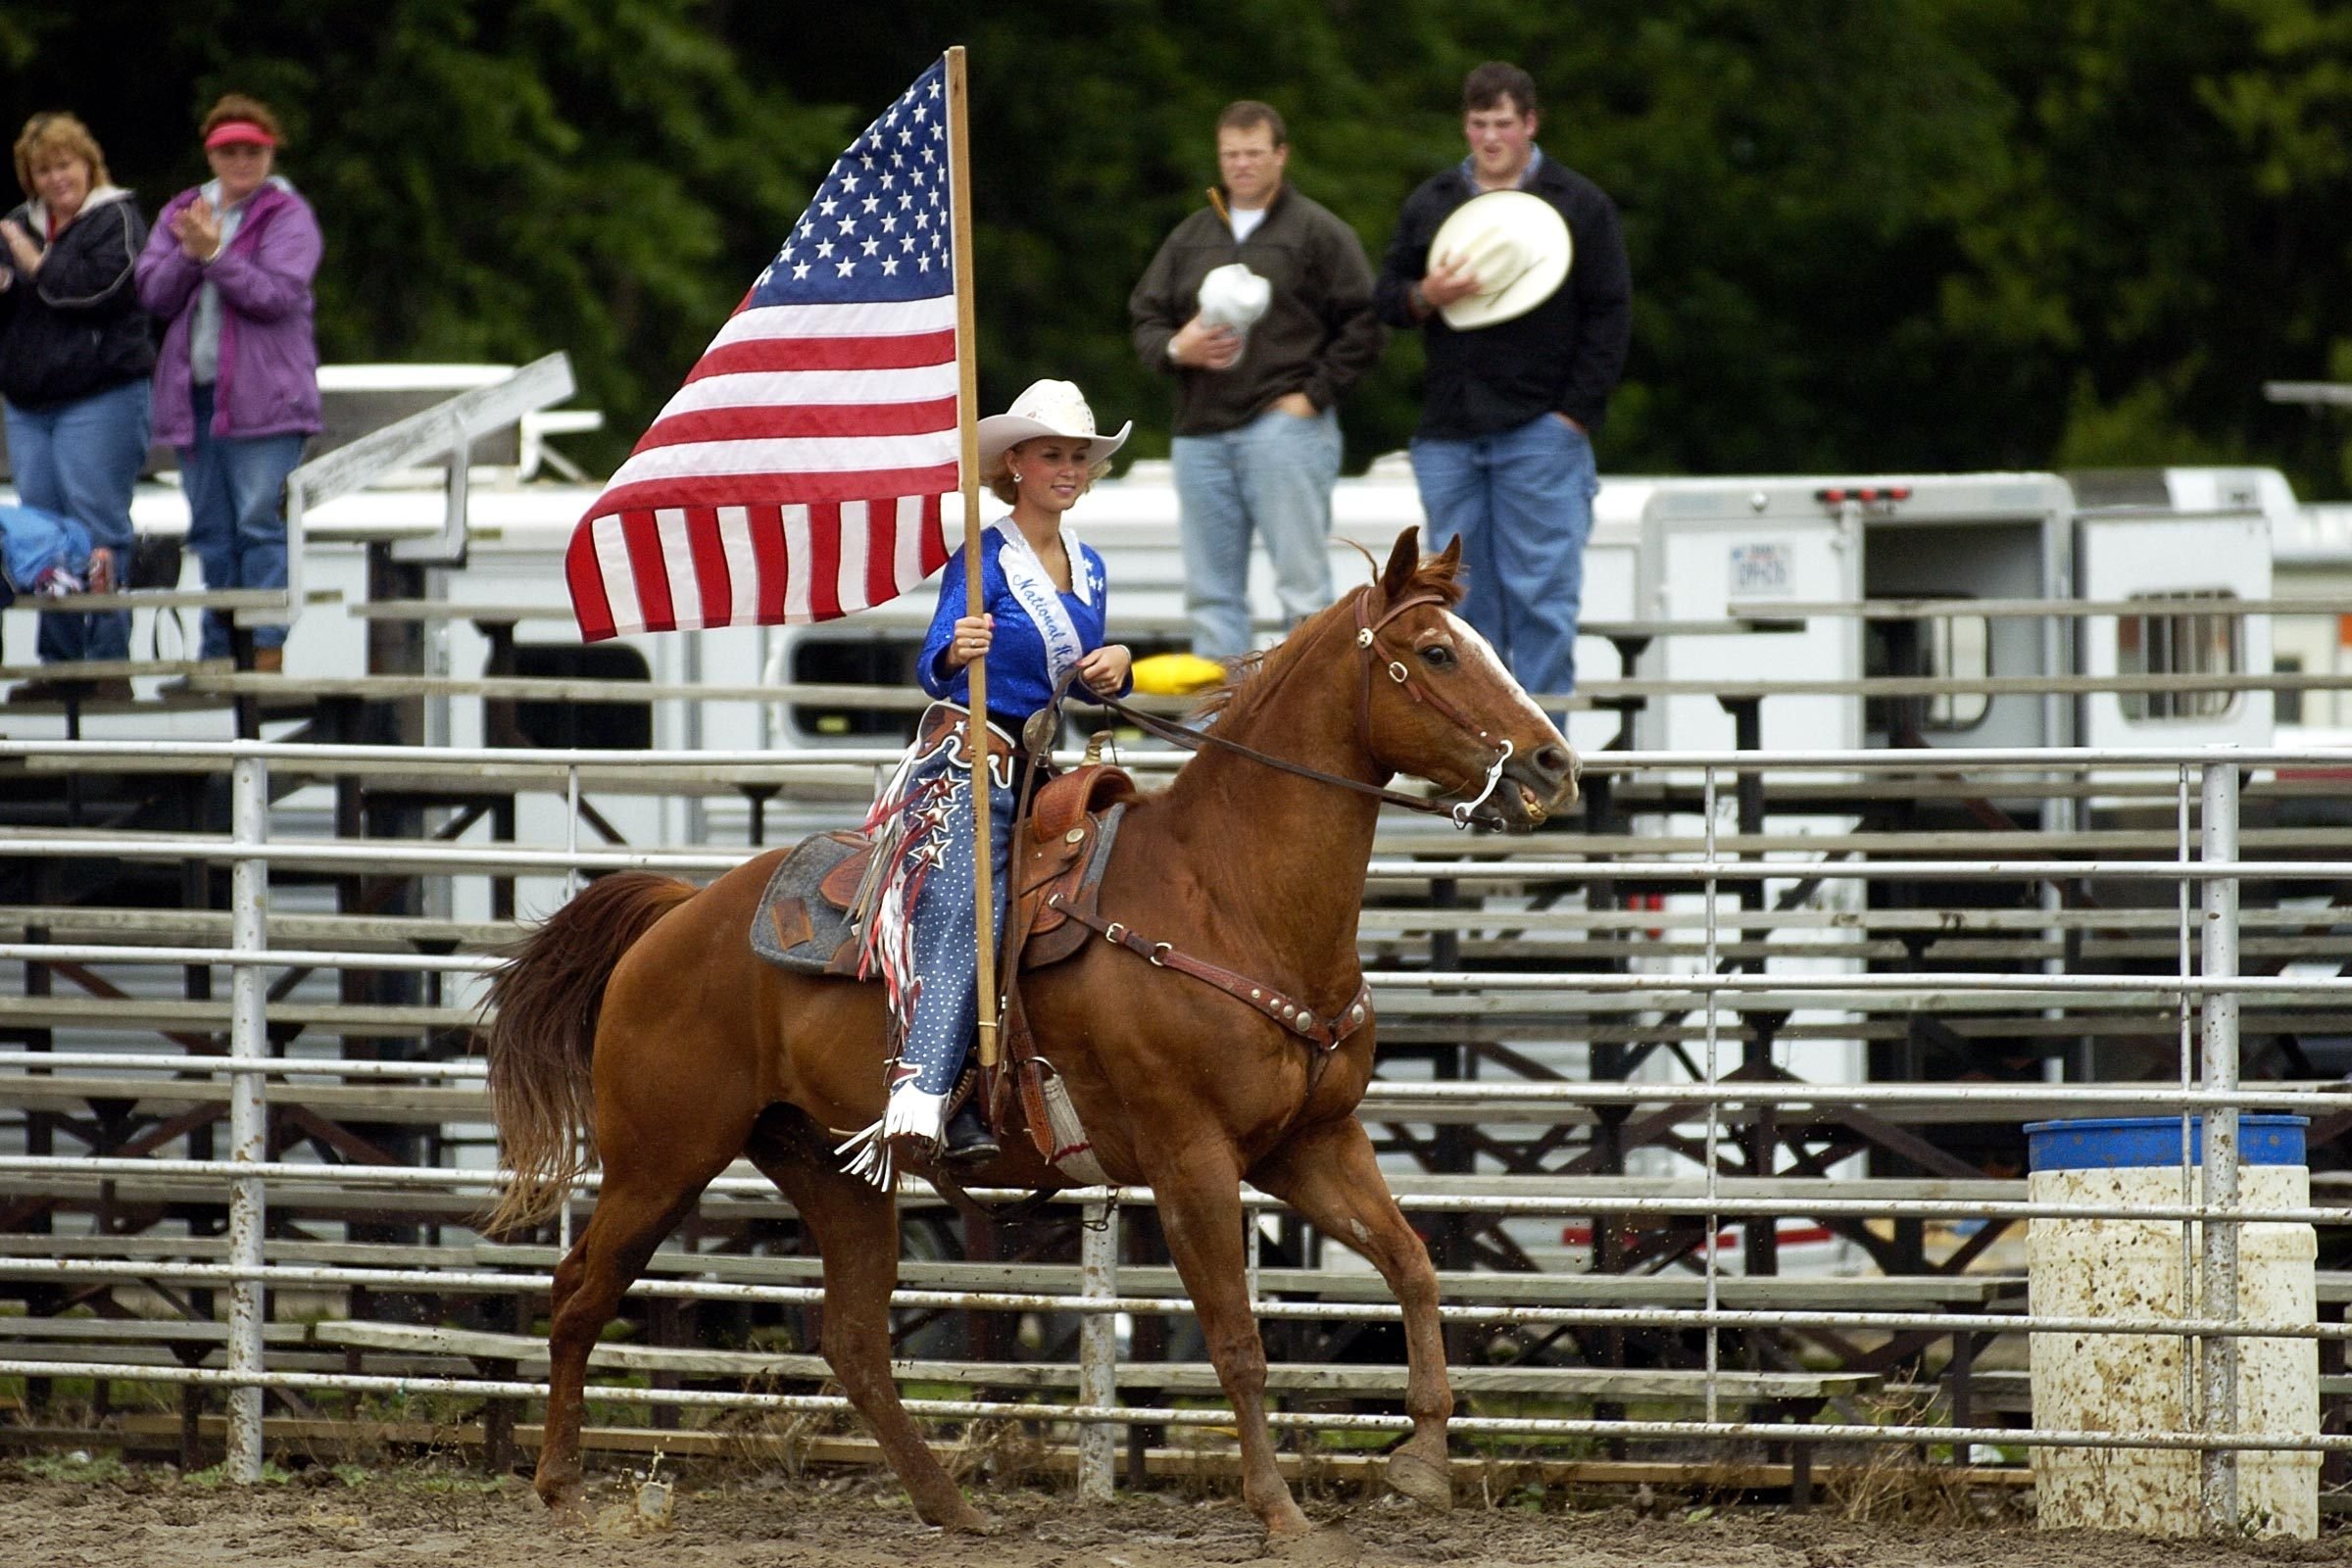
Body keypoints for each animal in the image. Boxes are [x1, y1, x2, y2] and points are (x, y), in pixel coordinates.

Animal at [477, 533, 1580, 1542]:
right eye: (1436, 652)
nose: (1553, 764)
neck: (1229, 895)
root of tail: (675, 916)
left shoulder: (1310, 1142)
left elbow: (1412, 1264)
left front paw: (1424, 1463)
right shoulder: (1190, 1157)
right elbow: (1236, 1338)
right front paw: (1279, 1511)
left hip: (827, 1168)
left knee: (853, 1341)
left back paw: (950, 1505)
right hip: (662, 1156)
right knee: (579, 1291)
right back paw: (561, 1485)